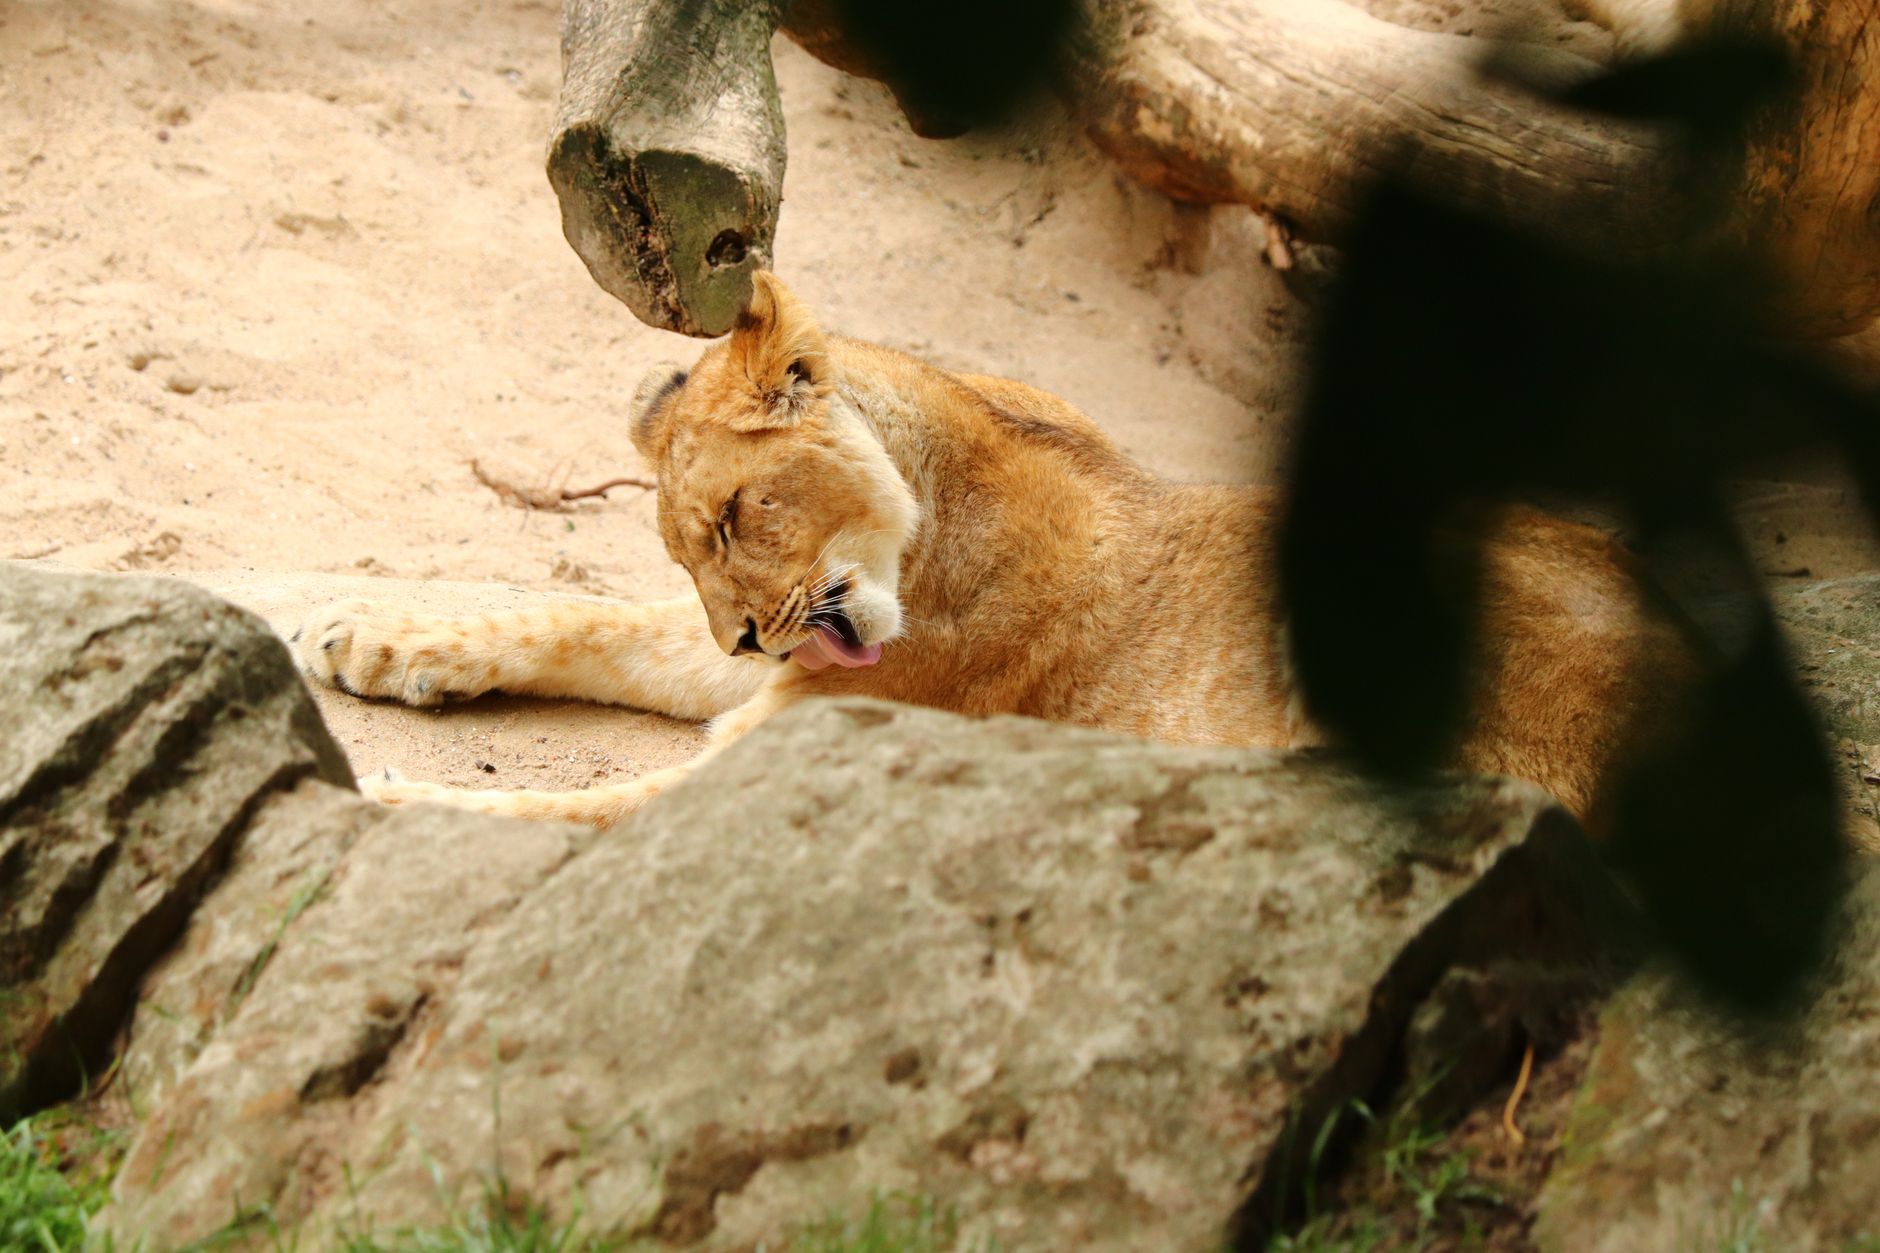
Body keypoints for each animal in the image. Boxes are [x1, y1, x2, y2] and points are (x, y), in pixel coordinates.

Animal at [293, 272, 1687, 830]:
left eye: (736, 516)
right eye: (688, 555)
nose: (740, 629)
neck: (924, 528)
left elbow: (565, 807)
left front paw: (385, 796)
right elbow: (579, 620)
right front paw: (375, 638)